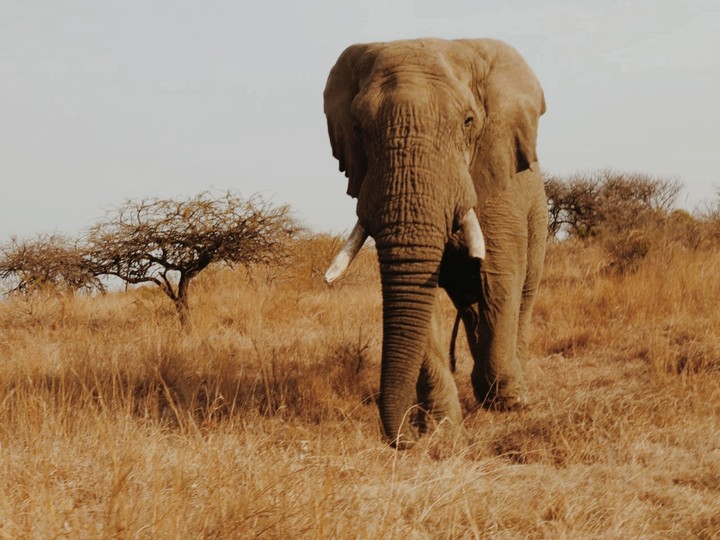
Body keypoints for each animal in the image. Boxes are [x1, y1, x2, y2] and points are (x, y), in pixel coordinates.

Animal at [323, 38, 547, 448]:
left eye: (469, 122)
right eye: (359, 128)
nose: (404, 439)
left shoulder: (498, 191)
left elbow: (497, 284)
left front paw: (505, 404)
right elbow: (417, 301)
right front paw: (441, 429)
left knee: (520, 298)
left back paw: (512, 393)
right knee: (472, 309)